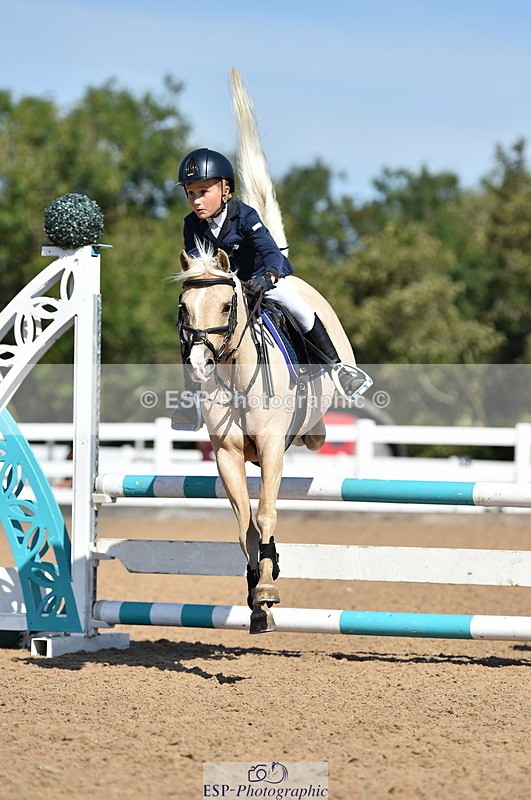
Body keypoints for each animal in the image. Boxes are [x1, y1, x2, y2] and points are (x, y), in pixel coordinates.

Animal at [173, 70, 364, 633]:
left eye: (227, 304)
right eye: (185, 307)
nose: (199, 365)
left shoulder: (274, 448)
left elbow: (265, 513)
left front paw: (270, 586)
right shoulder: (229, 454)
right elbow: (244, 524)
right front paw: (257, 594)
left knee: (319, 428)